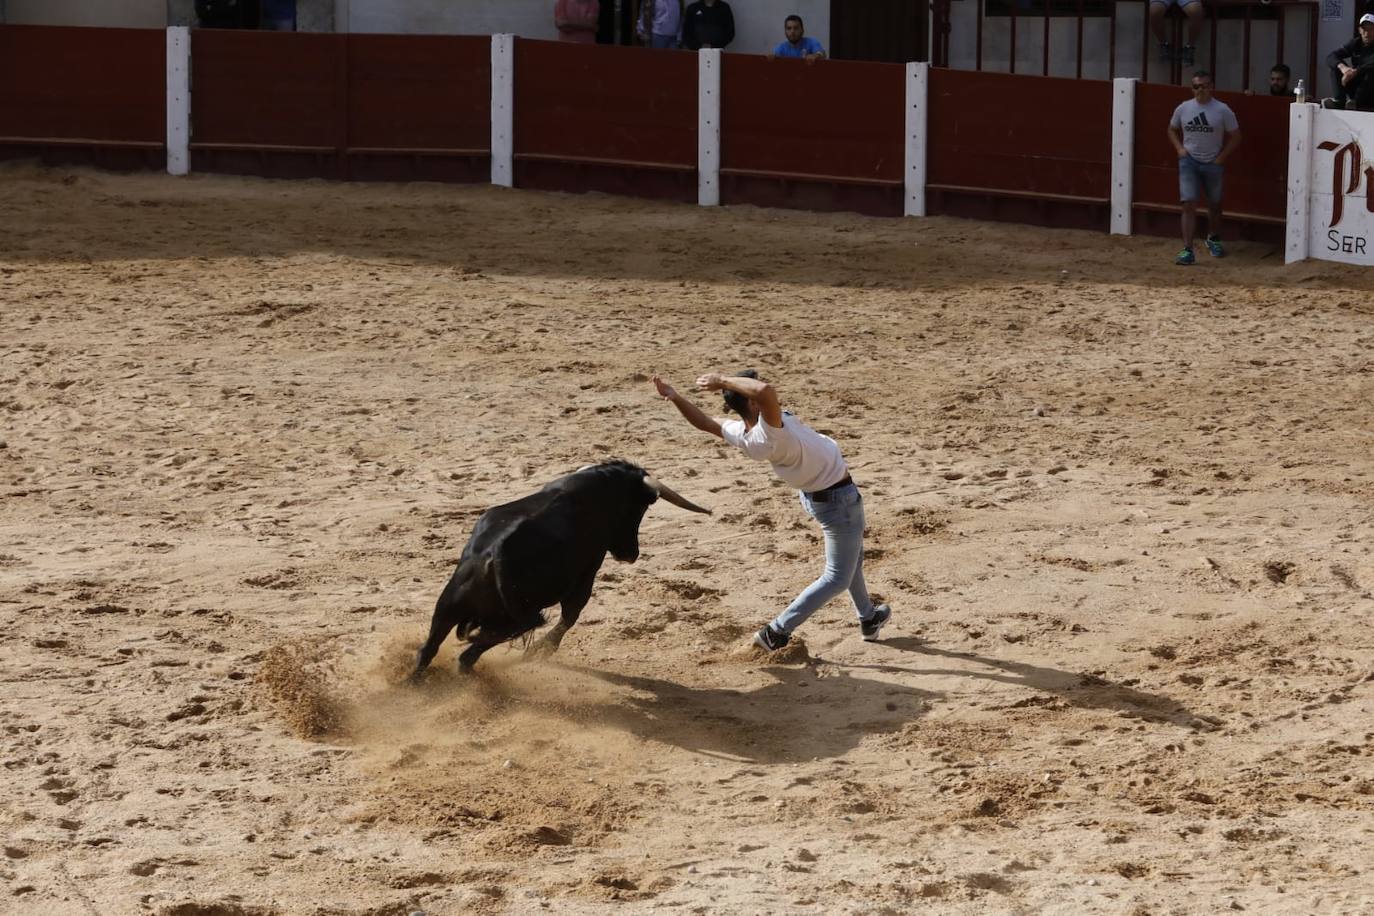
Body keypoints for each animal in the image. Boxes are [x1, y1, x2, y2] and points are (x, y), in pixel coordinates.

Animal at [406, 461, 708, 678]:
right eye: (639, 510)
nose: (630, 554)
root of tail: (494, 555)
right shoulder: (588, 571)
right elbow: (571, 615)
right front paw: (541, 651)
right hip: (514, 619)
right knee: (466, 656)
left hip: (449, 606)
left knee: (429, 650)